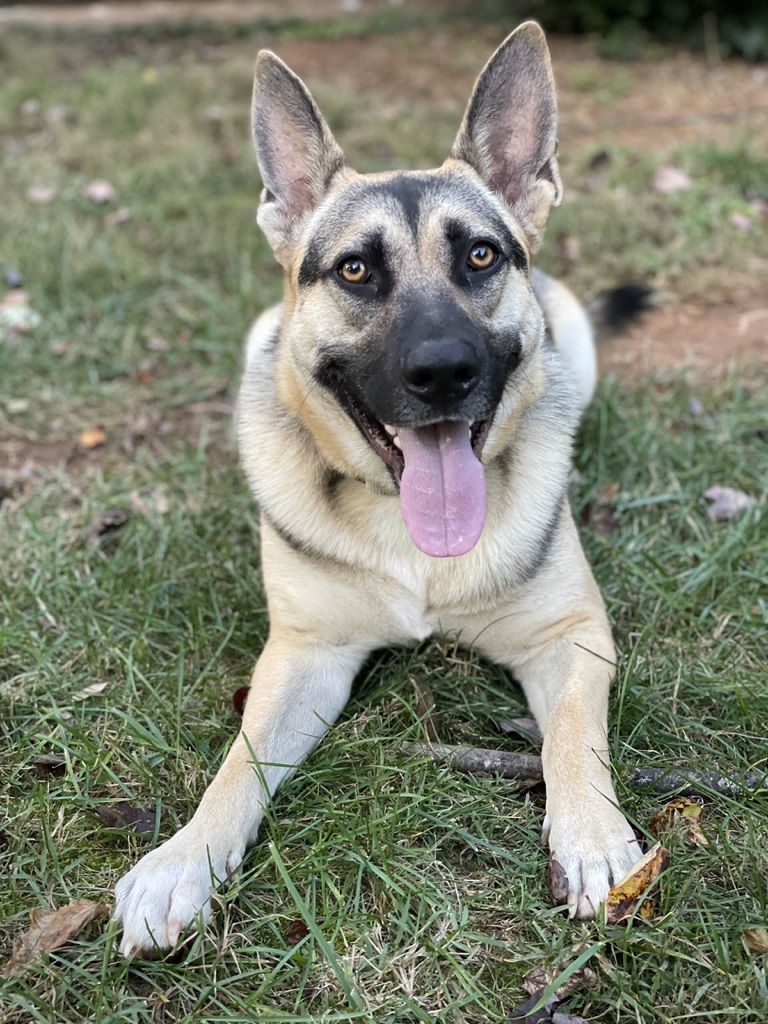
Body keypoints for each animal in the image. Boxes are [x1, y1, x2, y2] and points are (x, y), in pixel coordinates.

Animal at [112, 19, 643, 954]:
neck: (409, 530)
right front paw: (183, 859)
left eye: (480, 255)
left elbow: (573, 739)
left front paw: (591, 836)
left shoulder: (572, 635)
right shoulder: (304, 656)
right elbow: (237, 762)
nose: (443, 373)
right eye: (356, 271)